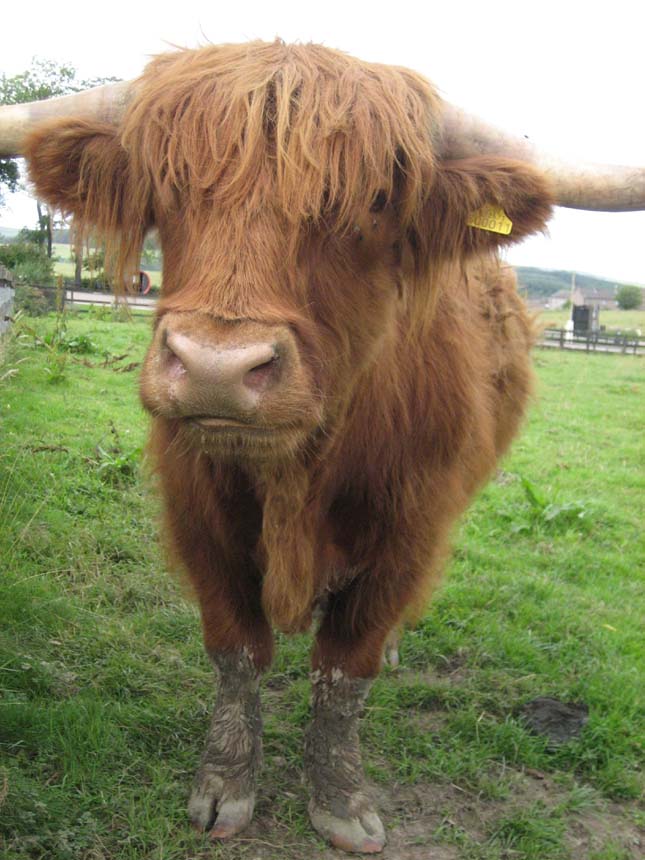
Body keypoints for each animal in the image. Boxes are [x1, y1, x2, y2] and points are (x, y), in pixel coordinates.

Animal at [1, 40, 643, 854]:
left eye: (371, 203)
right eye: (166, 188)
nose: (216, 368)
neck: (294, 478)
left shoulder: (407, 535)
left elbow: (344, 672)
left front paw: (341, 800)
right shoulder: (198, 516)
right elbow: (237, 651)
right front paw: (225, 786)